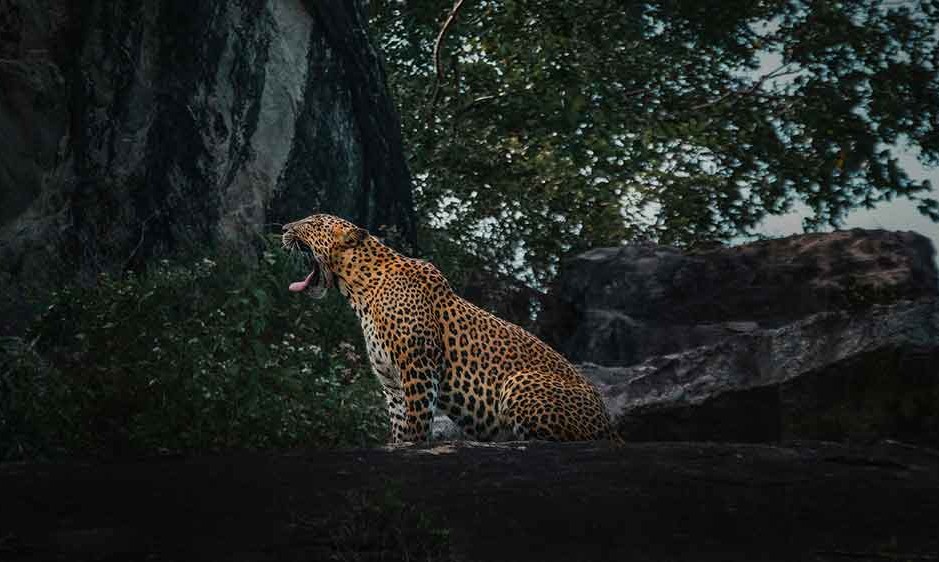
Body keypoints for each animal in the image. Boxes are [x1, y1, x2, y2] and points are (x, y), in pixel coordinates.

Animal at [282, 213, 618, 444]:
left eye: (312, 222)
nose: (284, 228)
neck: (361, 291)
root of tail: (609, 425)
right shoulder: (391, 383)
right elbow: (400, 425)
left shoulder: (417, 366)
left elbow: (417, 423)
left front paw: (416, 446)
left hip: (518, 382)